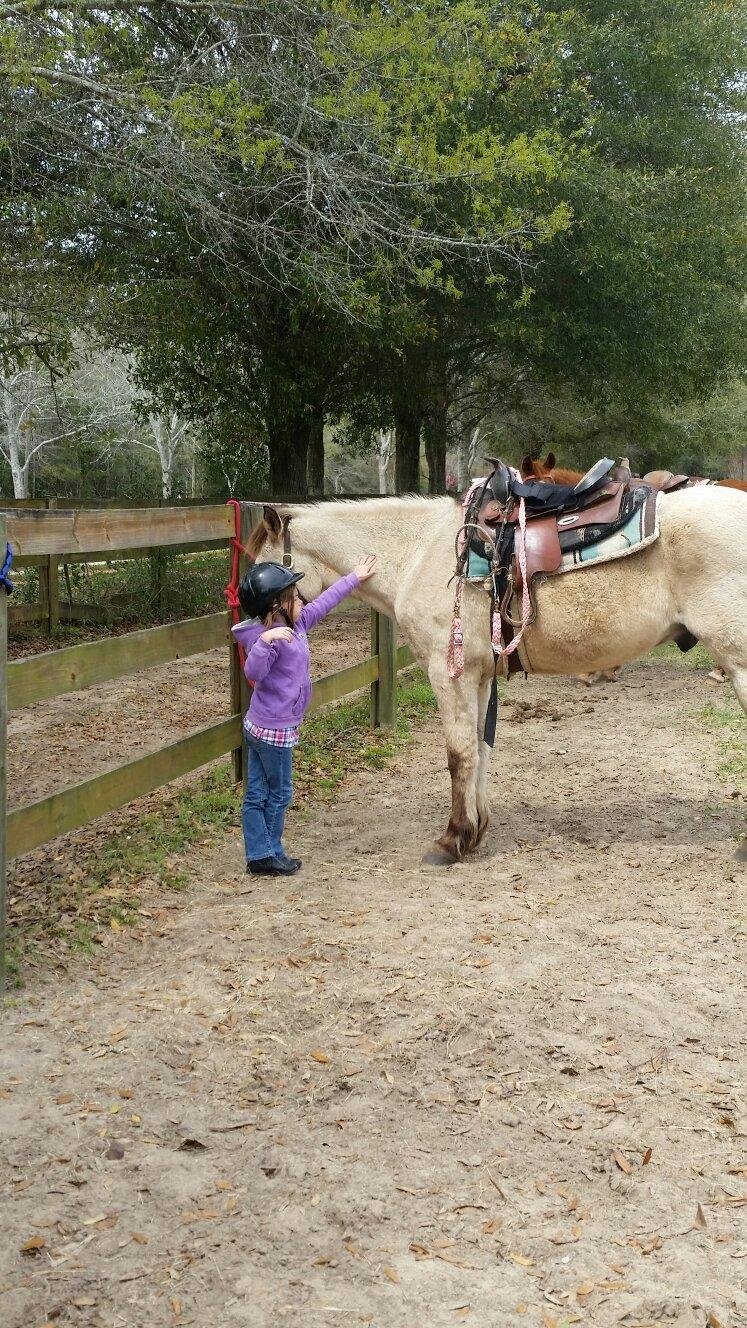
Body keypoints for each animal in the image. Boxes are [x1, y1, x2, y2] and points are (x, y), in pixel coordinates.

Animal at [249, 488, 744, 860]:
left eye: (264, 569)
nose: (253, 622)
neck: (418, 553)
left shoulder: (448, 675)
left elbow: (458, 753)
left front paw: (452, 839)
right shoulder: (480, 677)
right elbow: (481, 751)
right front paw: (477, 829)